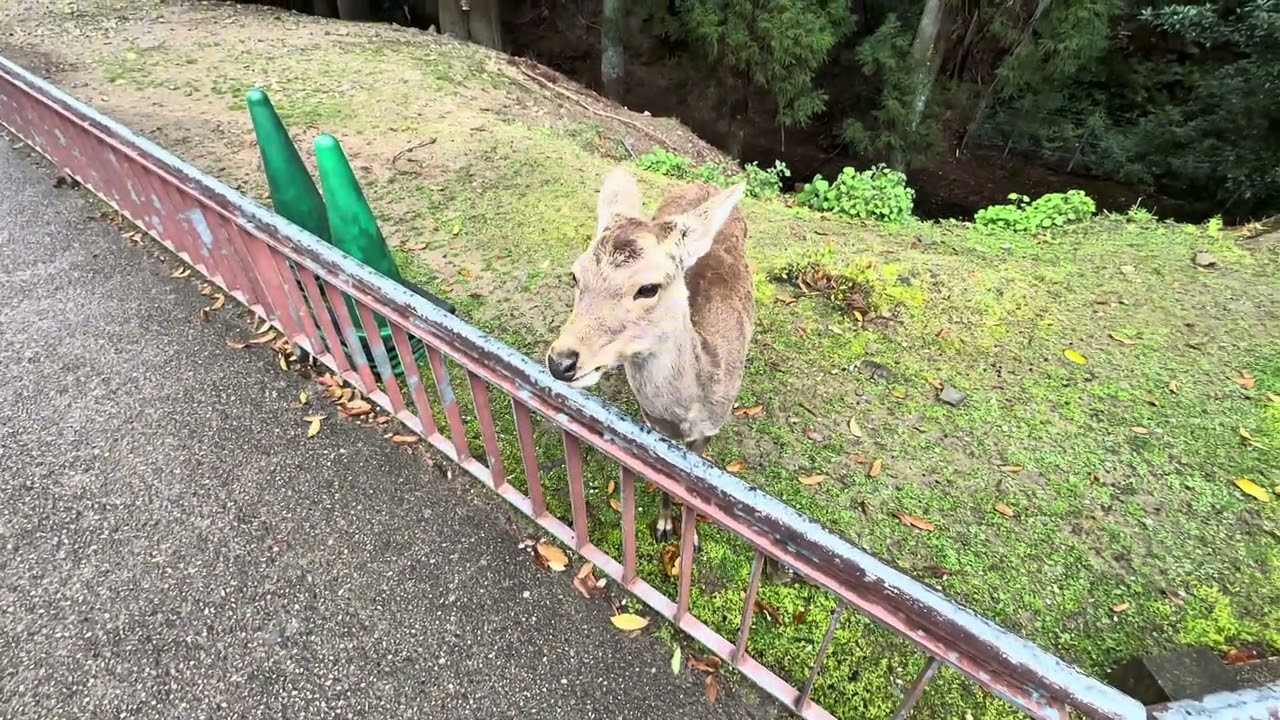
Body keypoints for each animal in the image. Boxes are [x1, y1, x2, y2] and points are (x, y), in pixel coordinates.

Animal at [543, 165, 756, 558]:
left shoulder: (712, 428)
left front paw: (690, 539)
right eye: (575, 274)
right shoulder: (651, 423)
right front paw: (663, 527)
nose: (561, 362)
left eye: (648, 288)